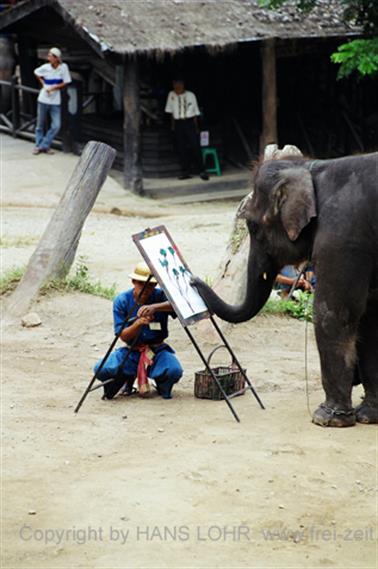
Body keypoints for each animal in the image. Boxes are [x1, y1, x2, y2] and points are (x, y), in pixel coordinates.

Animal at [195, 151, 378, 426]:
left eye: (253, 226)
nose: (193, 280)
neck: (311, 168)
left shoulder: (342, 236)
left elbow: (334, 313)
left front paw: (326, 419)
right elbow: (370, 317)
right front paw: (368, 415)